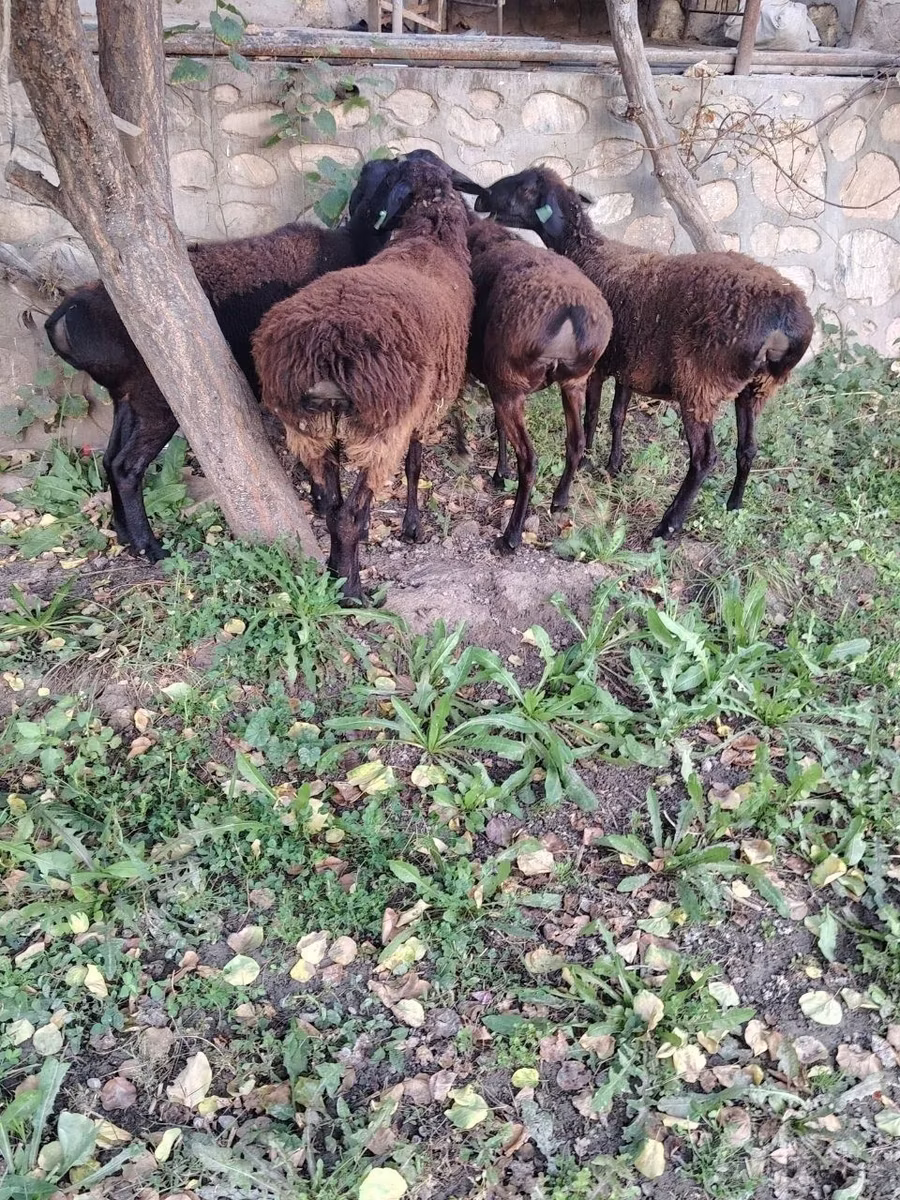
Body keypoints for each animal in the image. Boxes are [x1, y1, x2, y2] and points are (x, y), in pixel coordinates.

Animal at [43, 159, 398, 562]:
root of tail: (65, 318)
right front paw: (328, 504)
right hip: (158, 398)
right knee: (125, 466)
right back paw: (150, 546)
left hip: (128, 399)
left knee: (109, 457)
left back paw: (124, 533)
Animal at [252, 157, 474, 602]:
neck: (429, 237)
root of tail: (326, 353)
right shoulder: (421, 411)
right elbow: (415, 464)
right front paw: (412, 525)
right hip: (380, 431)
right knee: (348, 515)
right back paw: (352, 589)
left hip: (309, 431)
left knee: (334, 509)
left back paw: (335, 571)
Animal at [476, 168, 815, 540]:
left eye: (525, 188)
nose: (481, 198)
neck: (588, 252)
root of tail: (785, 320)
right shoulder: (630, 363)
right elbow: (617, 415)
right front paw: (613, 464)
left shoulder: (601, 366)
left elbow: (592, 415)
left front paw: (588, 458)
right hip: (756, 389)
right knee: (748, 447)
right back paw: (734, 504)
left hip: (700, 383)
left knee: (704, 459)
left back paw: (668, 525)